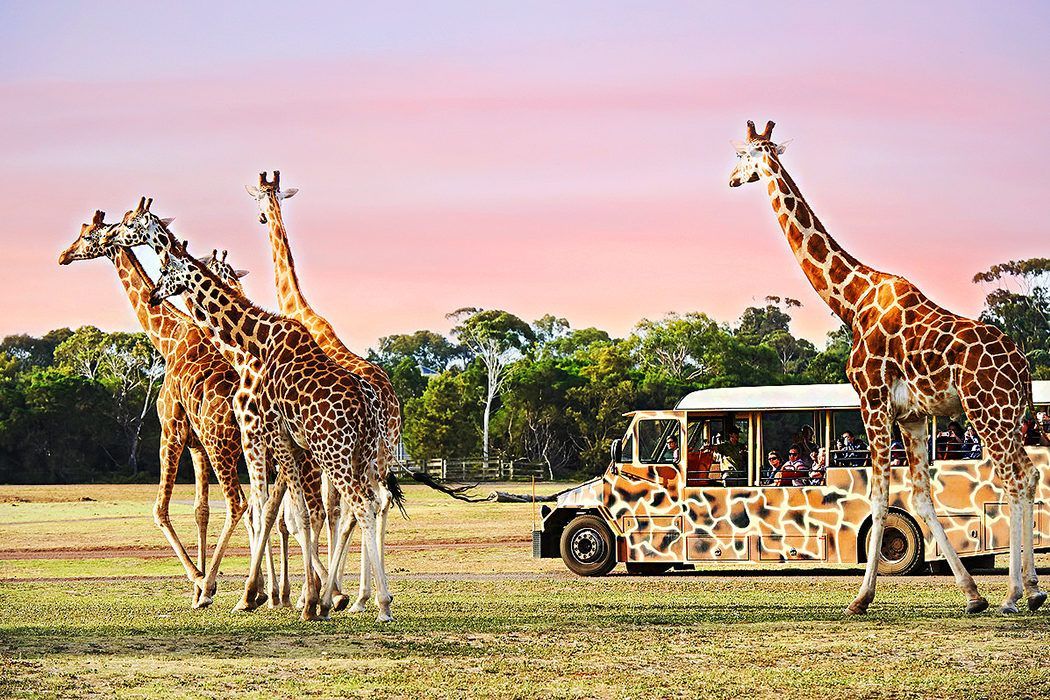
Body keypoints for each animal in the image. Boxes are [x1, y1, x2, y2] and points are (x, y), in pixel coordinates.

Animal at [58, 210, 247, 609]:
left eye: (87, 236)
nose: (63, 255)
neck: (169, 338)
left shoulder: (171, 431)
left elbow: (160, 510)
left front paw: (201, 583)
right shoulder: (195, 444)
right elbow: (200, 510)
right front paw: (199, 589)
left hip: (223, 442)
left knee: (241, 504)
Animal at [147, 240, 397, 622]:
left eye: (165, 271)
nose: (153, 296)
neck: (260, 340)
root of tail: (370, 408)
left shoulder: (274, 434)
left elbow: (285, 512)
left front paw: (283, 598)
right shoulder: (290, 443)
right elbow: (292, 514)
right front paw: (307, 598)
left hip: (334, 453)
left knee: (357, 507)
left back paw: (372, 603)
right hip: (363, 455)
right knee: (367, 504)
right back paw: (354, 598)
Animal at [728, 120, 1044, 615]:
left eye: (743, 155)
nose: (730, 179)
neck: (851, 300)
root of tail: (1023, 365)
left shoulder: (872, 401)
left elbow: (878, 498)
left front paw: (861, 598)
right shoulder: (912, 415)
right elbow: (920, 497)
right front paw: (972, 595)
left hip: (987, 413)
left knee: (1012, 480)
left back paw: (1014, 594)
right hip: (1010, 416)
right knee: (1028, 476)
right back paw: (1031, 589)